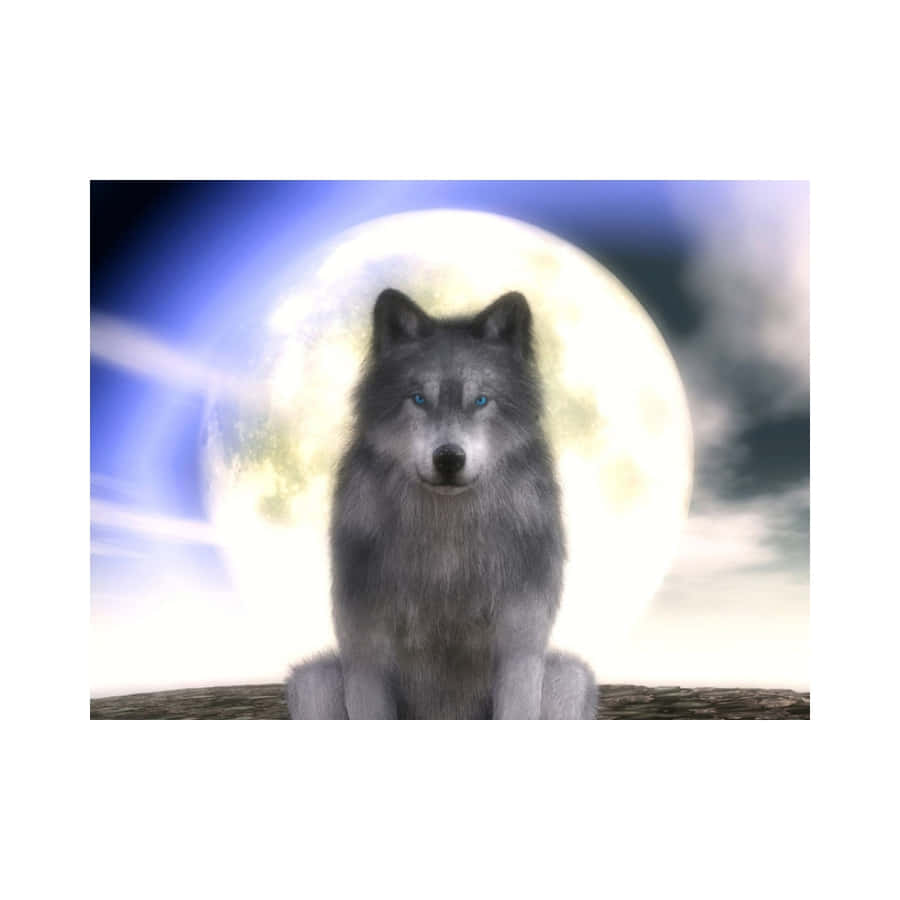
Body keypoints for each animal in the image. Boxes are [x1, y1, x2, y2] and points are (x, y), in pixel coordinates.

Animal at [285, 288, 597, 719]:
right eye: (419, 398)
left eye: (481, 400)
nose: (449, 458)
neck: (446, 546)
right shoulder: (365, 652)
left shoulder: (520, 647)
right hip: (312, 682)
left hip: (568, 679)